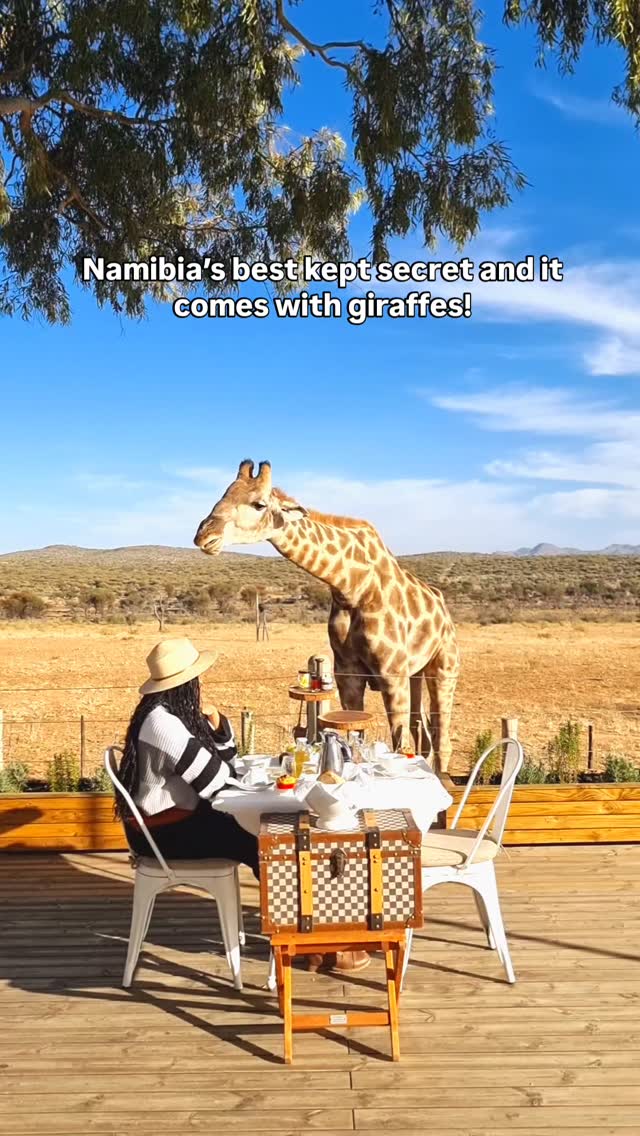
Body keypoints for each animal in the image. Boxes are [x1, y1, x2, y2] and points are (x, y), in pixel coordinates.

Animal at [194, 460, 460, 771]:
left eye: (259, 504)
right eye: (223, 495)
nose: (204, 536)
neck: (351, 588)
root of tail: (443, 609)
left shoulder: (391, 674)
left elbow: (398, 742)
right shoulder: (348, 675)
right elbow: (356, 732)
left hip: (444, 668)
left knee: (441, 741)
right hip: (416, 672)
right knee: (424, 734)